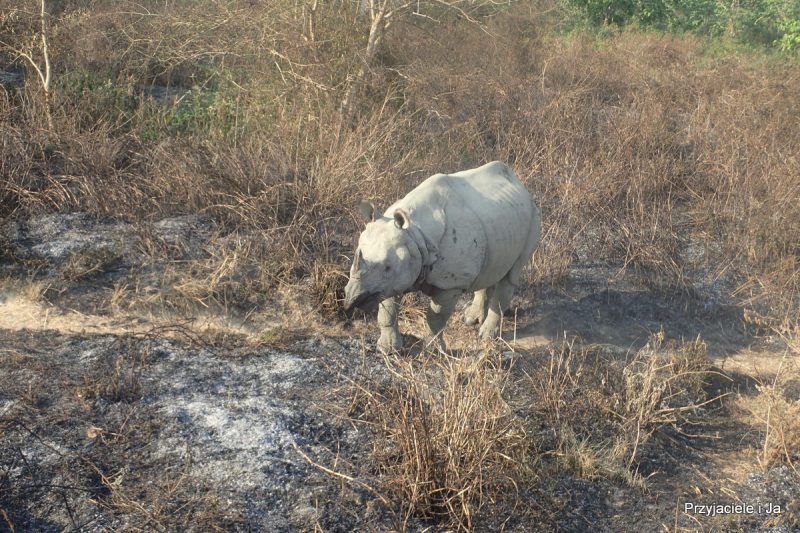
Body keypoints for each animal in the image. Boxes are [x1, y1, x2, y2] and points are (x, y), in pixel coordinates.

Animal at [343, 161, 541, 353]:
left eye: (387, 267)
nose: (352, 298)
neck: (415, 233)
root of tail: (519, 184)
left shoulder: (450, 283)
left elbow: (436, 317)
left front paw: (433, 351)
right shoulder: (390, 281)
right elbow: (387, 311)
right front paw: (387, 349)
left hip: (533, 215)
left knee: (512, 273)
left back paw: (486, 335)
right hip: (500, 220)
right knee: (490, 268)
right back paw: (471, 319)